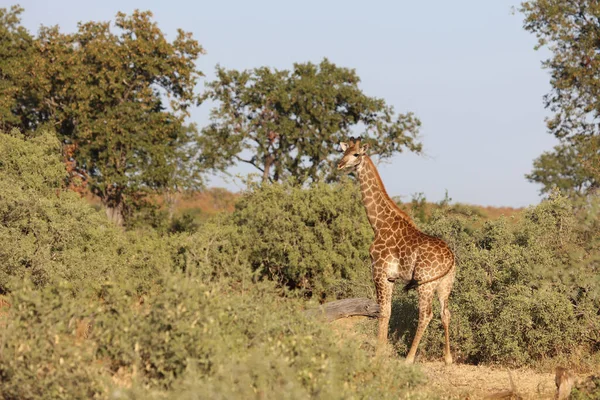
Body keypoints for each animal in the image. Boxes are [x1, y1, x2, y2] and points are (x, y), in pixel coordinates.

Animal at [338, 138, 454, 366]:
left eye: (356, 154)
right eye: (343, 151)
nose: (339, 164)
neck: (378, 224)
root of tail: (451, 259)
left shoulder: (380, 272)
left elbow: (383, 311)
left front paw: (378, 354)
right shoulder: (390, 277)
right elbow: (387, 311)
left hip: (425, 283)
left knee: (426, 314)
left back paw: (409, 359)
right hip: (445, 285)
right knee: (445, 313)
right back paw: (448, 358)